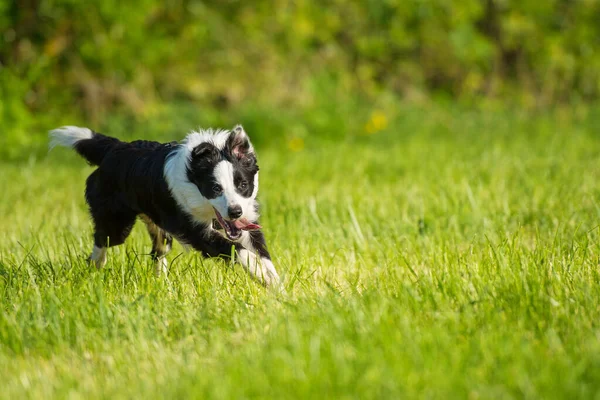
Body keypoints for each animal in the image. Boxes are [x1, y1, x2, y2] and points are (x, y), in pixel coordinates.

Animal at [48, 125, 280, 288]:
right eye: (215, 188)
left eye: (242, 185)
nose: (235, 211)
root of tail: (115, 148)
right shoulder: (196, 230)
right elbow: (238, 250)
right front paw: (261, 274)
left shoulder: (246, 221)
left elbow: (262, 253)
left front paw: (278, 291)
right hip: (115, 221)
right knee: (102, 240)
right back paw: (94, 270)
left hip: (157, 224)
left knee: (157, 251)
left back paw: (162, 286)